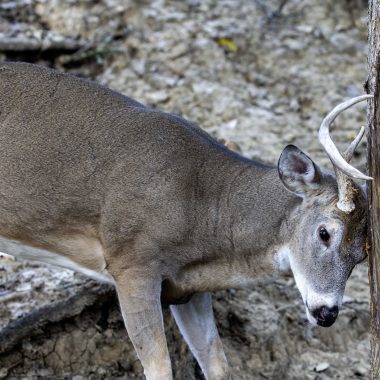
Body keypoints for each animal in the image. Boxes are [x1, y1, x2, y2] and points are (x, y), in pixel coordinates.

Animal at [0, 60, 374, 378]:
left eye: (361, 256)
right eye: (324, 233)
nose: (327, 313)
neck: (201, 210)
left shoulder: (188, 288)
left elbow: (218, 364)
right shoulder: (132, 262)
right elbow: (160, 367)